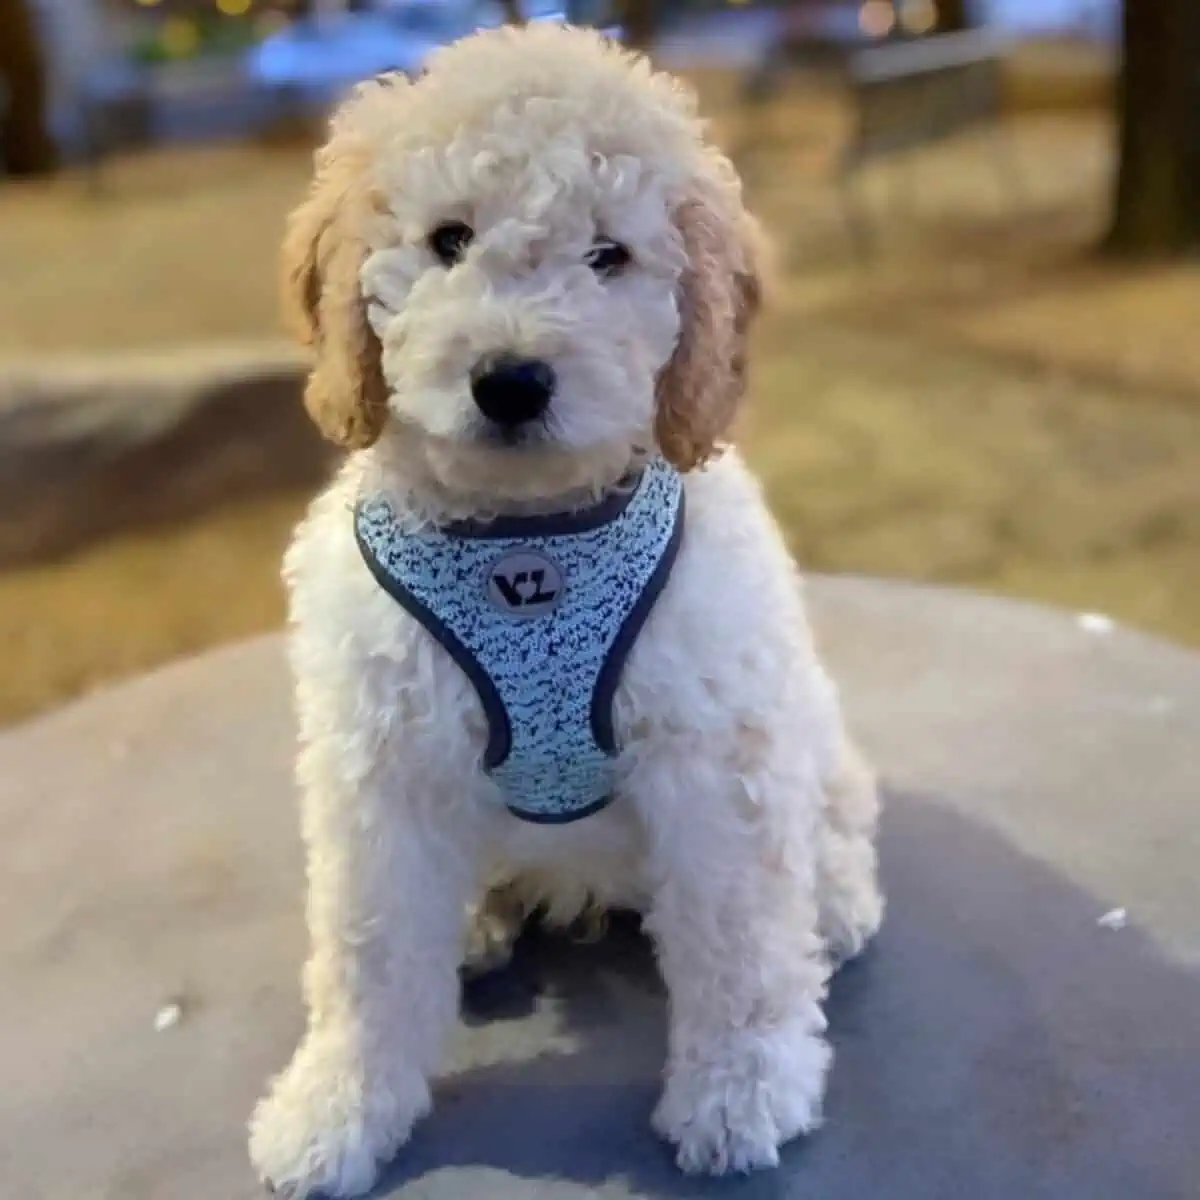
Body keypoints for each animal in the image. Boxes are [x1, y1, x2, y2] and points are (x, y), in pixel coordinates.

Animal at [248, 21, 883, 1200]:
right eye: (448, 240)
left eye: (609, 257)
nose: (511, 380)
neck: (526, 540)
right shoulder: (381, 769)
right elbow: (366, 955)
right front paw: (337, 1110)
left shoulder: (712, 757)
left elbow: (738, 942)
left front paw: (740, 1091)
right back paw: (479, 916)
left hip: (804, 731)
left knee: (829, 826)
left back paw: (835, 899)